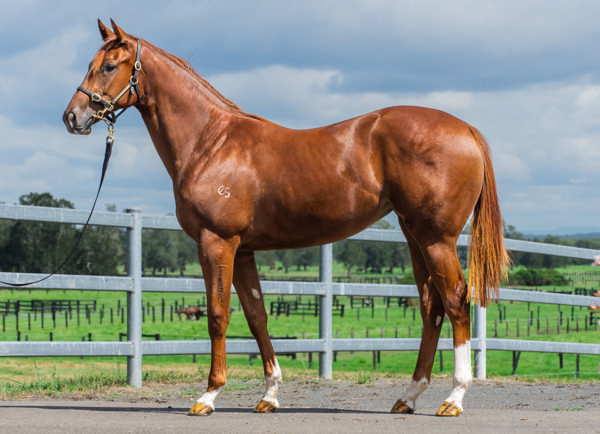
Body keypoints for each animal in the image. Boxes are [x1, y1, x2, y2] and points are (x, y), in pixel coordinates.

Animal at [64, 20, 506, 418]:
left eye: (108, 66)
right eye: (91, 63)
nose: (73, 117)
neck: (211, 142)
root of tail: (466, 129)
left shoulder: (216, 242)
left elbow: (218, 316)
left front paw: (208, 396)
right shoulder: (244, 251)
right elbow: (256, 317)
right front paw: (270, 395)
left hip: (436, 239)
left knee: (456, 301)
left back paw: (454, 399)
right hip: (415, 236)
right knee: (431, 308)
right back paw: (408, 397)